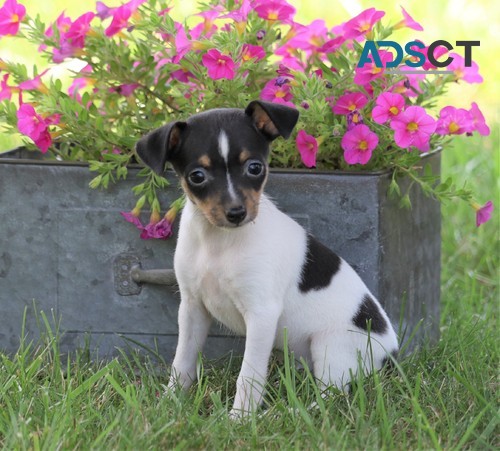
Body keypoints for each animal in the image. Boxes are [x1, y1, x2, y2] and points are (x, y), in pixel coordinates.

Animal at [136, 100, 398, 418]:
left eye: (255, 167)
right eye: (197, 176)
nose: (237, 213)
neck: (219, 243)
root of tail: (392, 354)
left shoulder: (261, 313)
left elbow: (248, 375)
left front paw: (240, 419)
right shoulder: (192, 308)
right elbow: (182, 362)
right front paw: (170, 404)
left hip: (332, 347)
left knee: (331, 396)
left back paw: (290, 413)